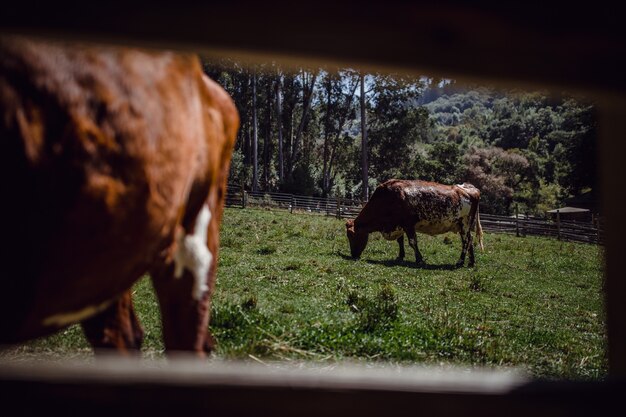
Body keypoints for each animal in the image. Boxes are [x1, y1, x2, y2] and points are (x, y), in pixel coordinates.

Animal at [346, 179, 482, 266]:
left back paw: (460, 262)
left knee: (466, 241)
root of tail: (469, 189)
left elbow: (412, 242)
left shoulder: (408, 225)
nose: (353, 255)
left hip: (464, 223)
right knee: (469, 240)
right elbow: (400, 241)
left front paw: (419, 259)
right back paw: (471, 262)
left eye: (352, 235)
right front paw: (400, 256)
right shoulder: (399, 225)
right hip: (463, 226)